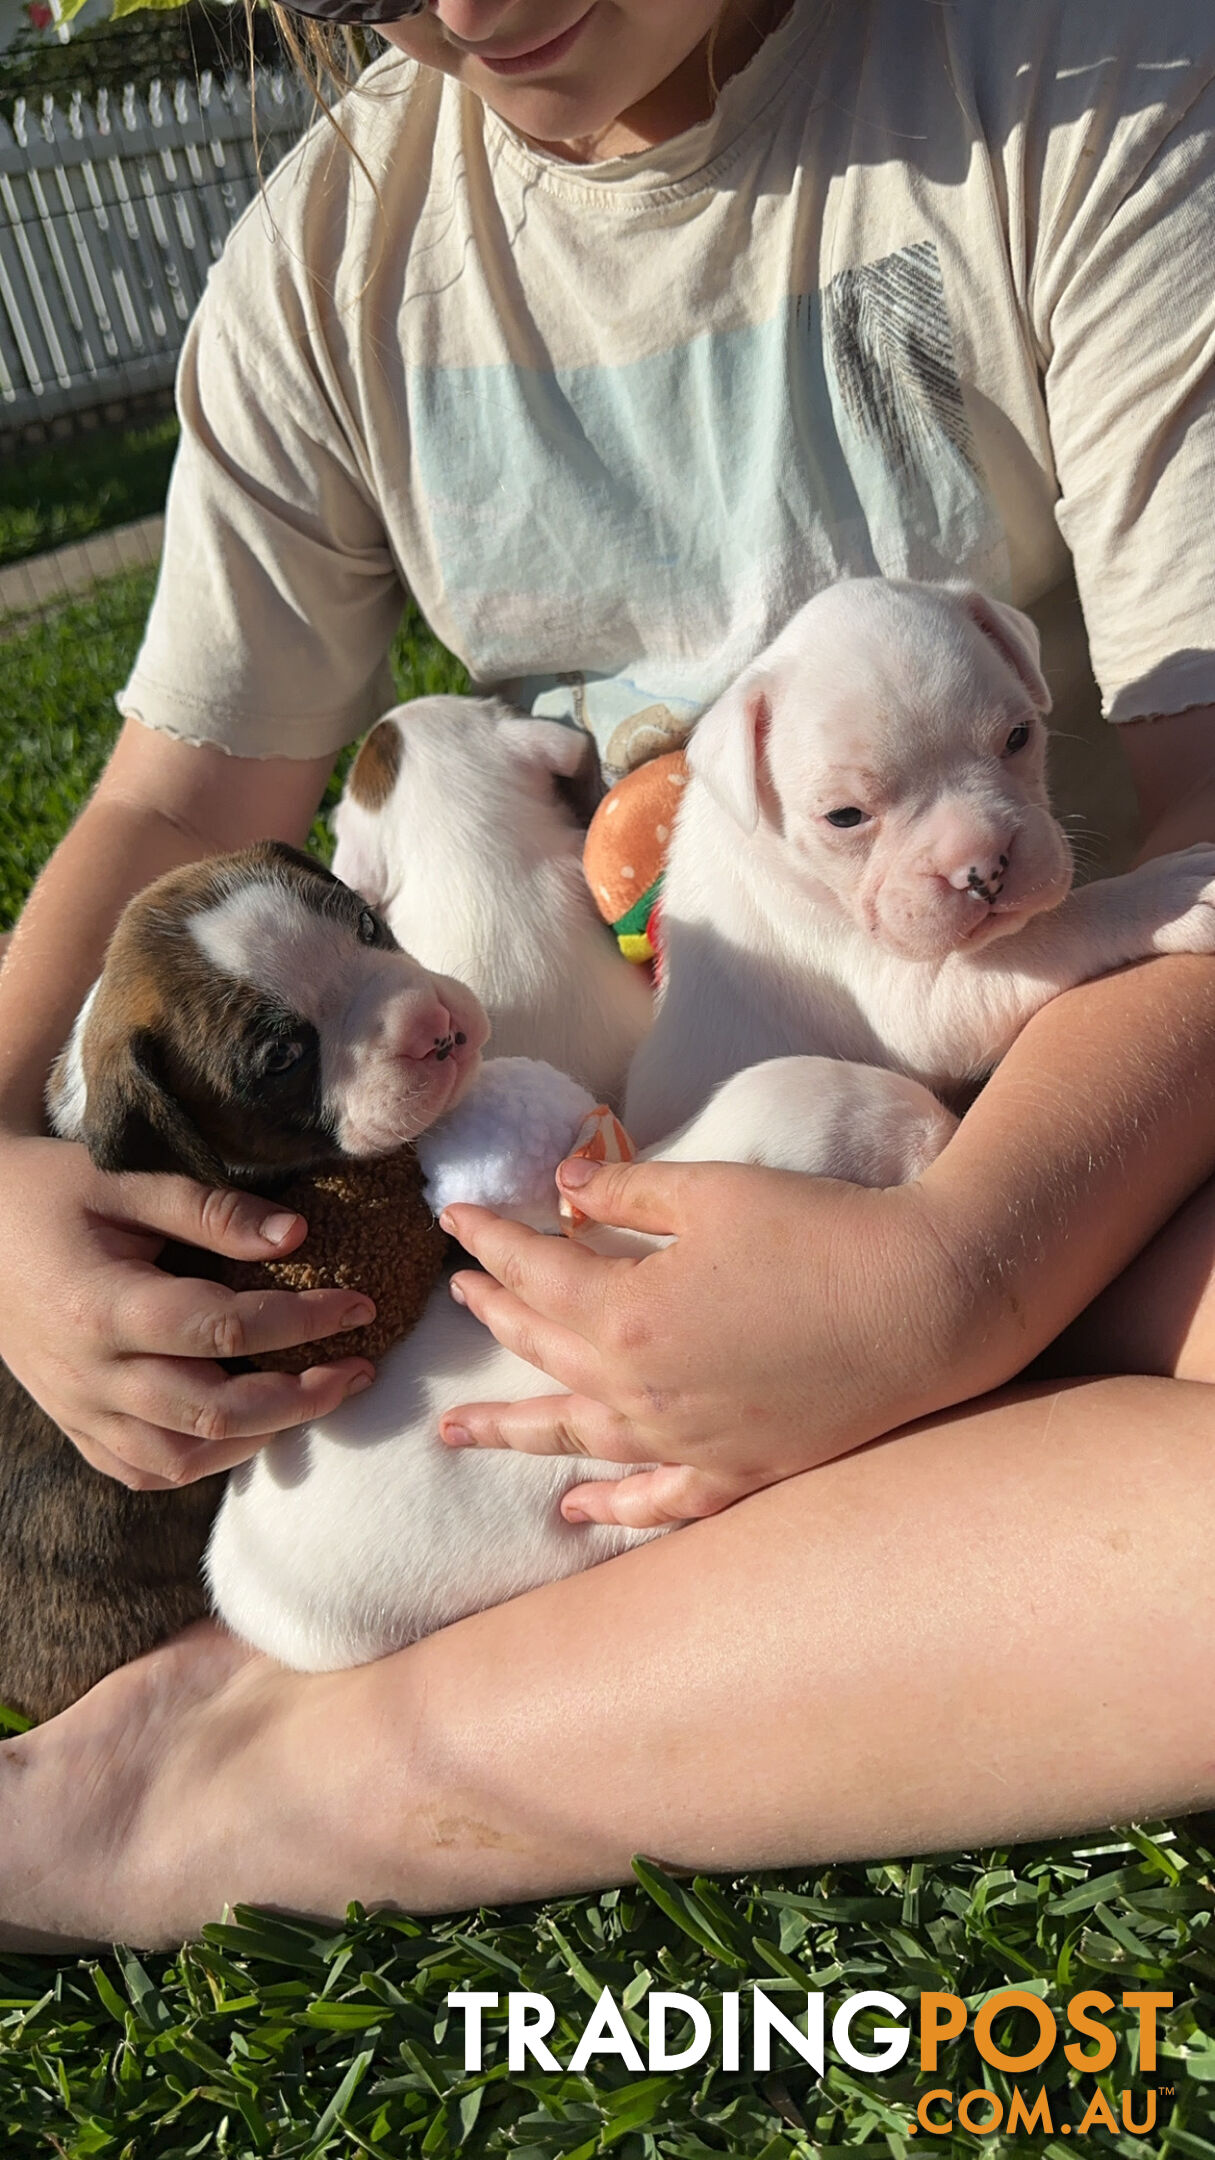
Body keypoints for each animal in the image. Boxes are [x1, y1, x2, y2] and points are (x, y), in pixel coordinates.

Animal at [618, 574, 1210, 1149]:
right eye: (845, 816)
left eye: (1018, 737)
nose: (983, 865)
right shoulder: (909, 1002)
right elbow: (1057, 928)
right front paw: (1167, 896)